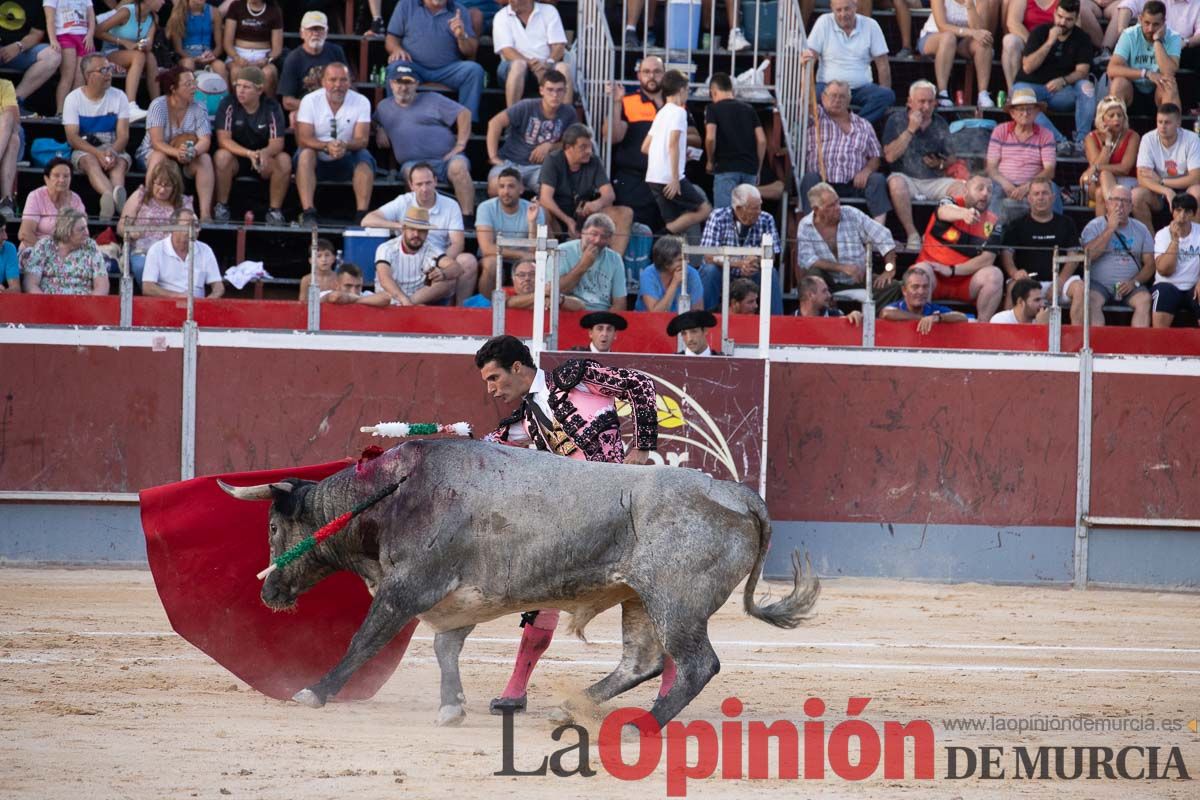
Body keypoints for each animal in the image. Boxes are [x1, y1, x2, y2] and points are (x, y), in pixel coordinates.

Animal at [220, 438, 820, 724]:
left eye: (272, 527)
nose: (268, 593)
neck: (390, 497)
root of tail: (739, 493)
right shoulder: (457, 602)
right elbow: (445, 650)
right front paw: (452, 706)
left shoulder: (406, 589)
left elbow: (362, 642)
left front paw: (314, 692)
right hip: (639, 600)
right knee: (643, 661)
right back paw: (575, 704)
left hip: (676, 601)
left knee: (696, 664)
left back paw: (641, 726)